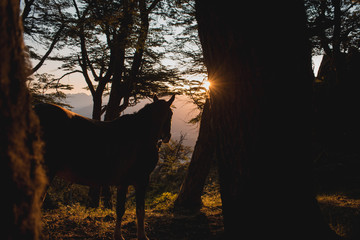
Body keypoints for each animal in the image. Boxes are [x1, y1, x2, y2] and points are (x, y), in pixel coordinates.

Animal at [34, 94, 175, 240]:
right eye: (171, 114)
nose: (167, 136)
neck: (141, 135)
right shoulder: (140, 180)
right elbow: (138, 210)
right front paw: (140, 236)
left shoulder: (123, 183)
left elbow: (121, 210)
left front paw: (118, 235)